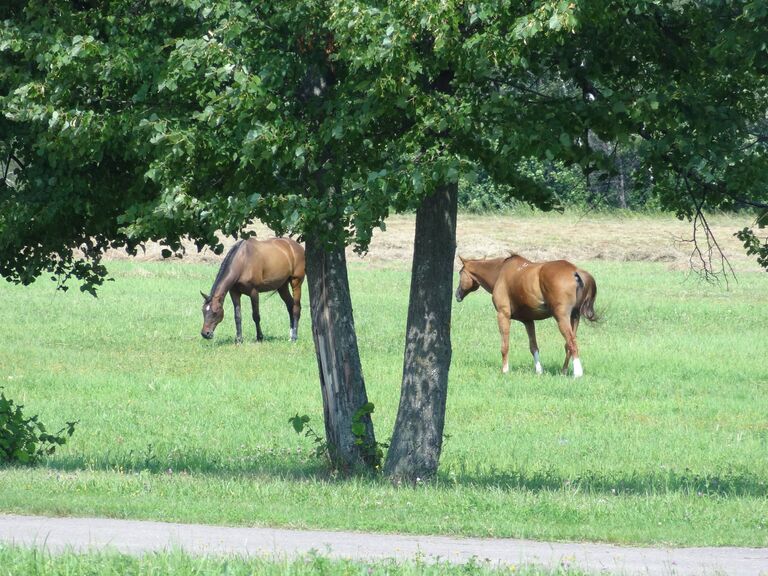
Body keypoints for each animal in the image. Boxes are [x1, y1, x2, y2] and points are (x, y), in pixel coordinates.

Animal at [456, 255, 600, 378]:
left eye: (460, 273)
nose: (457, 294)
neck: (500, 272)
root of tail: (575, 271)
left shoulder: (503, 315)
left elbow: (505, 346)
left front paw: (505, 370)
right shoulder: (528, 321)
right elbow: (533, 347)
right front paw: (539, 371)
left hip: (562, 318)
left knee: (571, 343)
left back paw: (577, 374)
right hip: (574, 317)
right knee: (568, 345)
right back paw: (563, 371)